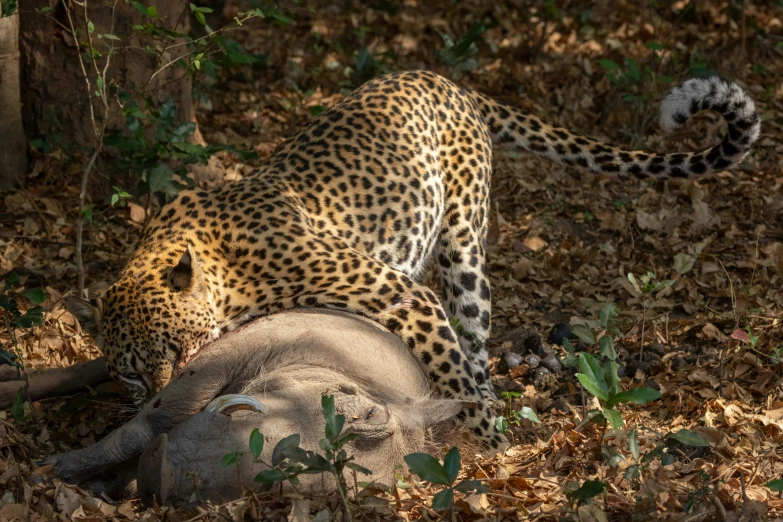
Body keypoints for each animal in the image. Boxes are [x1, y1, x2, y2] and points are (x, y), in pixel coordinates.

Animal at [67, 71, 760, 448]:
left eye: (179, 352)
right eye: (131, 373)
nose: (158, 401)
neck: (222, 271)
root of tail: (445, 80)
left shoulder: (400, 293)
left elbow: (453, 375)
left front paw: (491, 448)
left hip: (463, 250)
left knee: (474, 347)